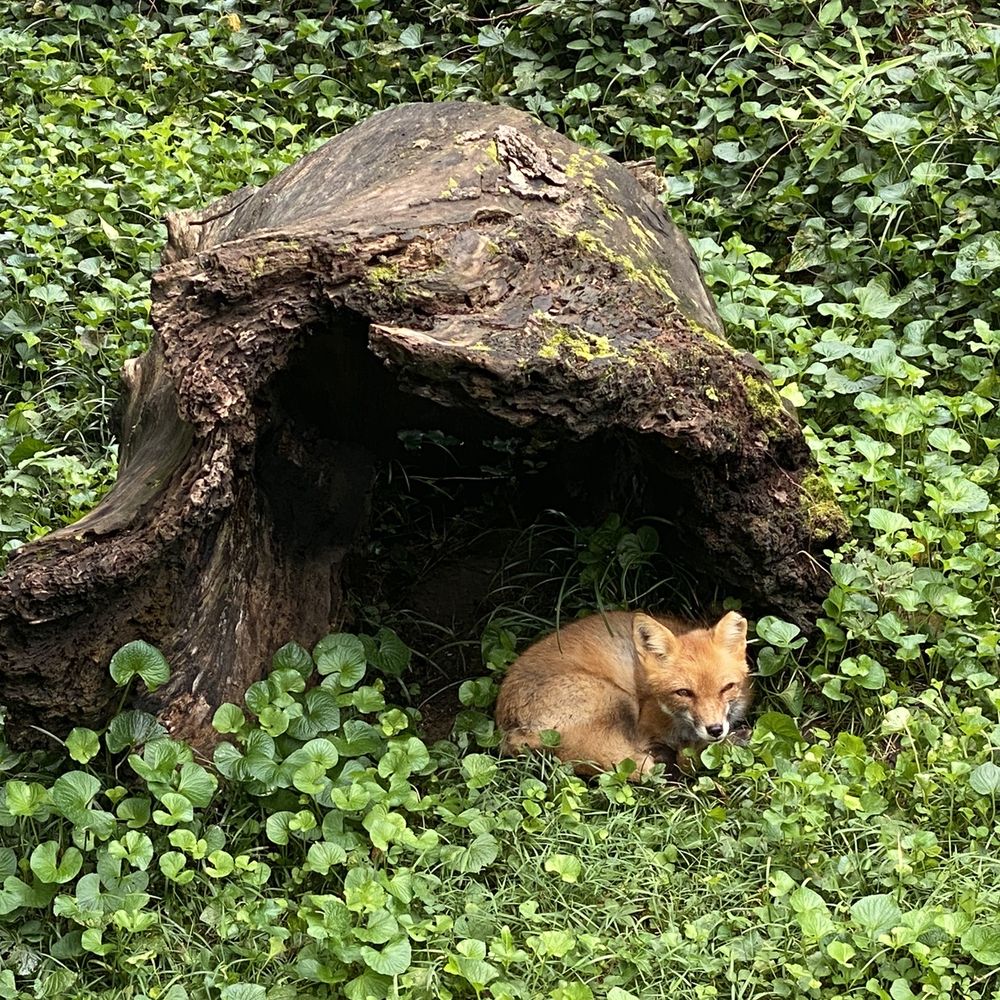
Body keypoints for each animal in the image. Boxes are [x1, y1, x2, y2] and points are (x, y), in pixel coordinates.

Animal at [495, 610, 752, 778]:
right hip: (617, 699)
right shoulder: (644, 727)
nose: (715, 729)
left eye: (726, 688)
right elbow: (684, 756)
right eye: (684, 692)